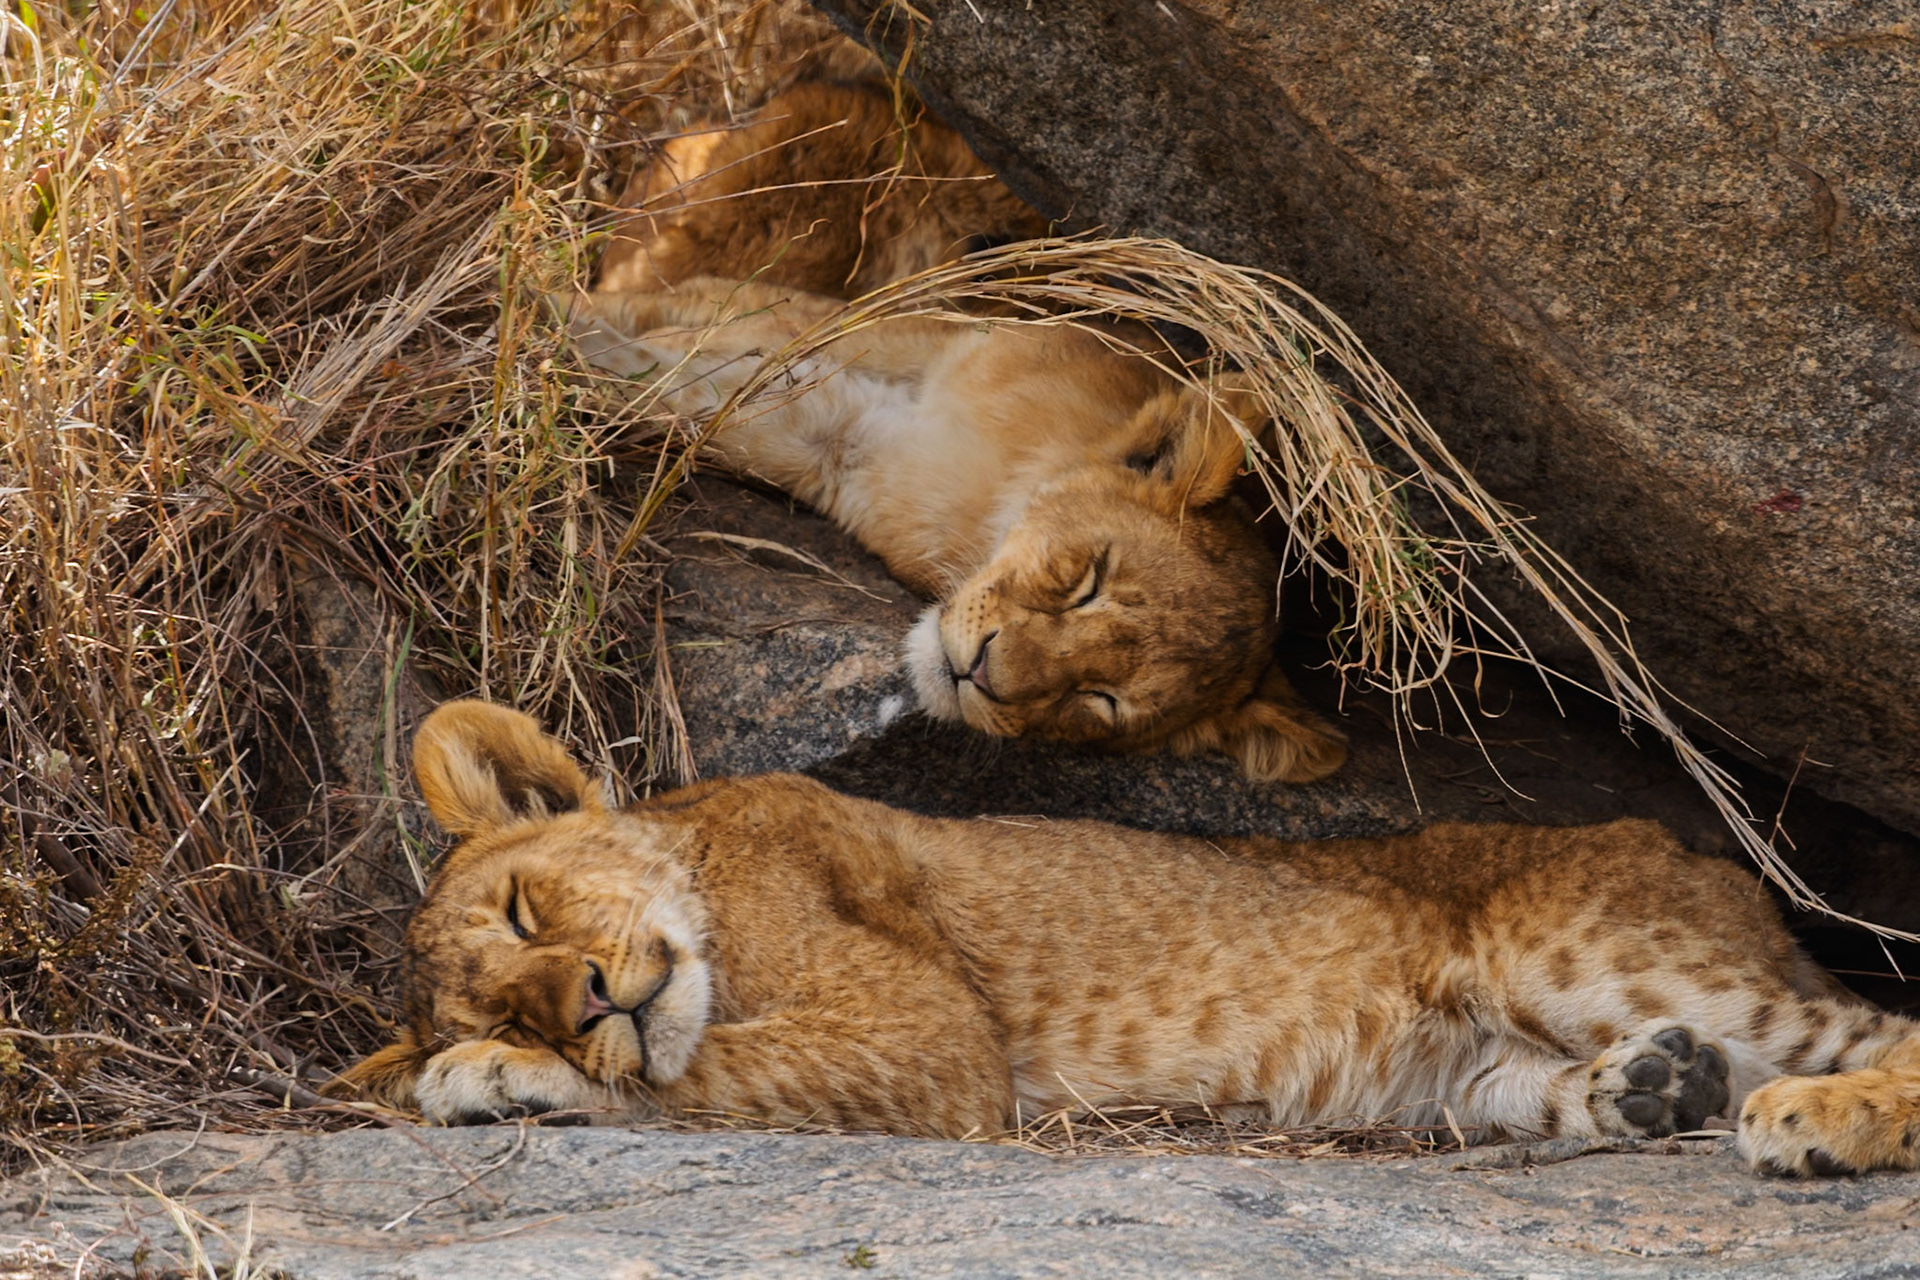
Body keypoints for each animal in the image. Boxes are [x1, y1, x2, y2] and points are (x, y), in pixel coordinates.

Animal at [333, 700, 1920, 1179]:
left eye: (528, 911)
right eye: (507, 996)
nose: (588, 999)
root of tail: (1691, 844)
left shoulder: (933, 1042)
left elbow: (704, 1072)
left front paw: (501, 1086)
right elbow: (696, 1064)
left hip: (1579, 944)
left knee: (1886, 1027)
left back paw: (1815, 1119)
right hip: (1466, 1068)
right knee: (1534, 1090)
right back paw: (1652, 1087)